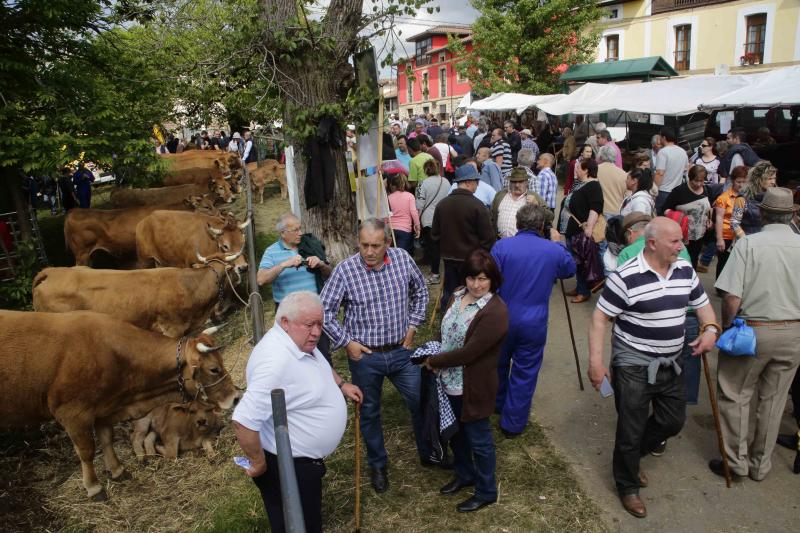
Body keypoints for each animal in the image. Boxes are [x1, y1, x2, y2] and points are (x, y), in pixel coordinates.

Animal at [0, 312, 238, 498]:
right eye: (214, 369)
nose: (236, 396)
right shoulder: (72, 414)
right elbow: (86, 451)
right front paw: (94, 487)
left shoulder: (105, 408)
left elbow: (106, 439)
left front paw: (116, 470)